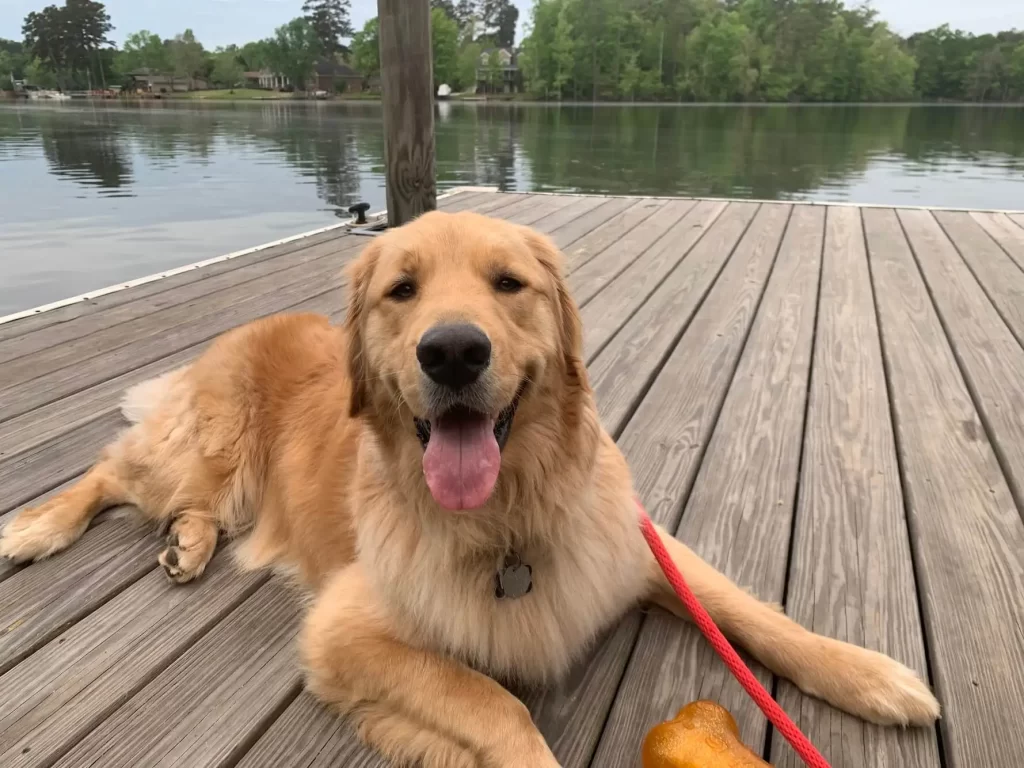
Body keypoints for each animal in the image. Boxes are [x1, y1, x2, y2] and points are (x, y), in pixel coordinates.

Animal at [0, 211, 937, 768]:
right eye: (402, 290)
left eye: (508, 283)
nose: (452, 351)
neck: (507, 518)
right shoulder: (343, 634)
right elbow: (494, 702)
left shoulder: (637, 548)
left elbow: (749, 611)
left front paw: (870, 675)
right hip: (211, 454)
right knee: (111, 470)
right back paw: (35, 528)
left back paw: (186, 547)